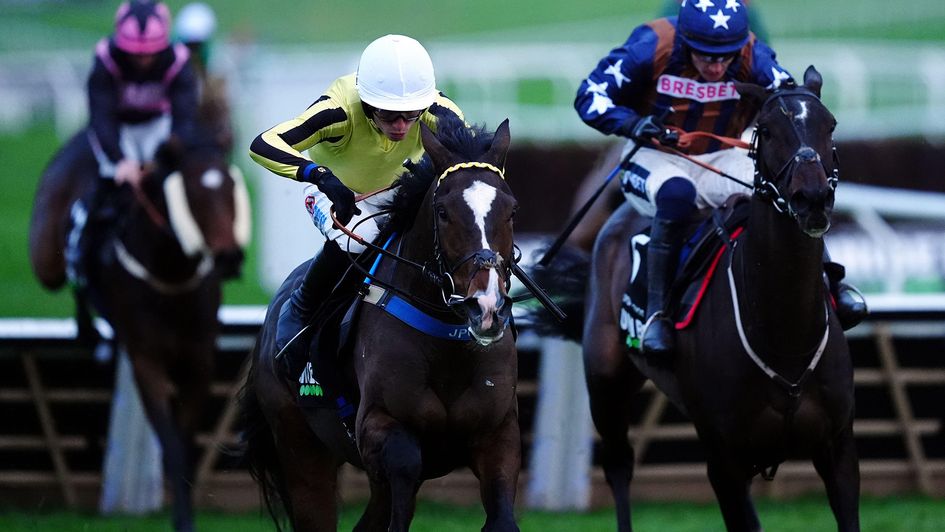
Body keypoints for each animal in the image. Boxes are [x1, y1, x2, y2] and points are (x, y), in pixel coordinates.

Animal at [29, 95, 249, 532]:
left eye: (231, 188)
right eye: (193, 193)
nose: (229, 257)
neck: (170, 272)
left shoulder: (199, 358)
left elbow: (185, 440)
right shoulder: (147, 359)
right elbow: (171, 442)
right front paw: (181, 519)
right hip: (45, 256)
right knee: (61, 276)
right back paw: (88, 332)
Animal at [235, 119, 516, 532]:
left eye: (511, 210)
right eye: (443, 211)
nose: (486, 306)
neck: (446, 344)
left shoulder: (498, 433)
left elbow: (502, 515)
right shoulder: (376, 426)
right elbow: (405, 463)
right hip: (299, 447)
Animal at [540, 66, 856, 532]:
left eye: (830, 124)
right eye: (765, 129)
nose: (812, 197)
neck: (784, 339)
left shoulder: (837, 448)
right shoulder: (724, 461)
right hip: (605, 381)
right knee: (619, 466)